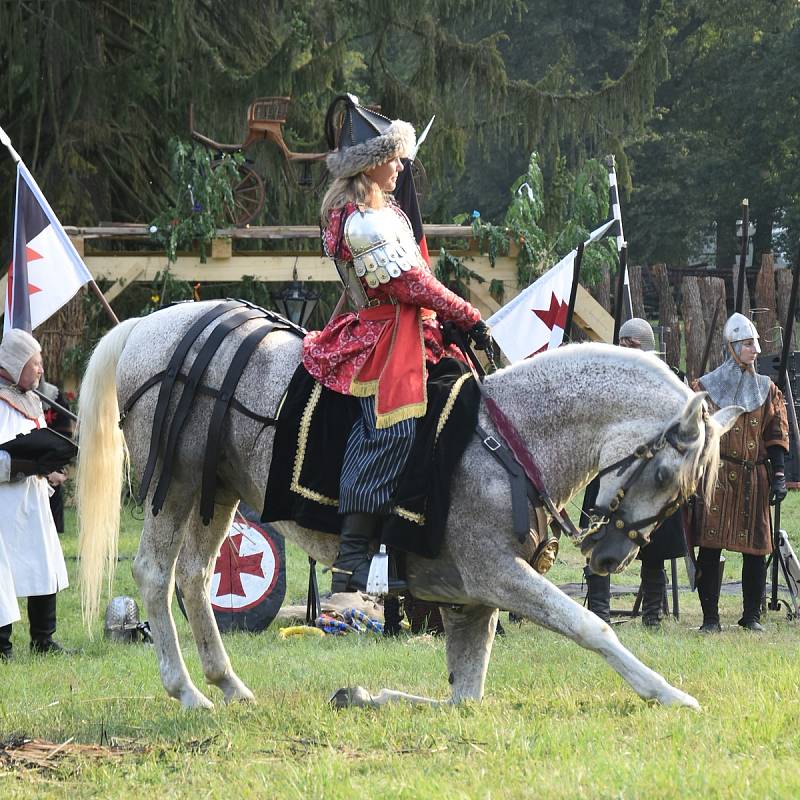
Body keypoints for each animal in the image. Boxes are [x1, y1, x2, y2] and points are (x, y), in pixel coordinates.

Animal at [75, 304, 736, 708]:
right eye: (668, 474)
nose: (609, 558)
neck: (510, 437)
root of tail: (145, 326)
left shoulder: (471, 602)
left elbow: (462, 699)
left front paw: (361, 696)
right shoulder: (497, 576)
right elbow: (589, 625)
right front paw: (667, 693)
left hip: (219, 489)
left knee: (194, 576)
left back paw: (229, 684)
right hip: (178, 482)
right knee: (154, 575)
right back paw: (188, 692)